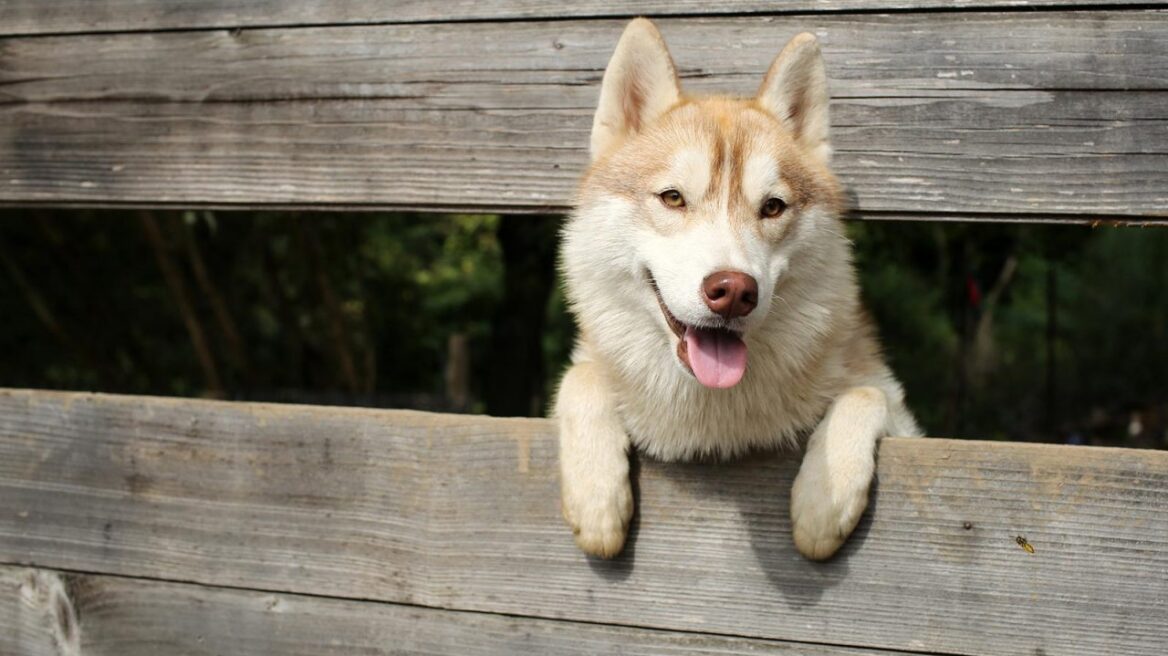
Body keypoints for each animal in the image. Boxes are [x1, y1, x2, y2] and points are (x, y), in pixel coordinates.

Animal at [555, 19, 920, 562]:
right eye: (673, 198)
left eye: (772, 207)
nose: (732, 291)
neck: (713, 420)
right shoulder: (586, 369)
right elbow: (578, 379)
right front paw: (597, 497)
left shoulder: (900, 412)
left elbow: (864, 394)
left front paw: (823, 499)